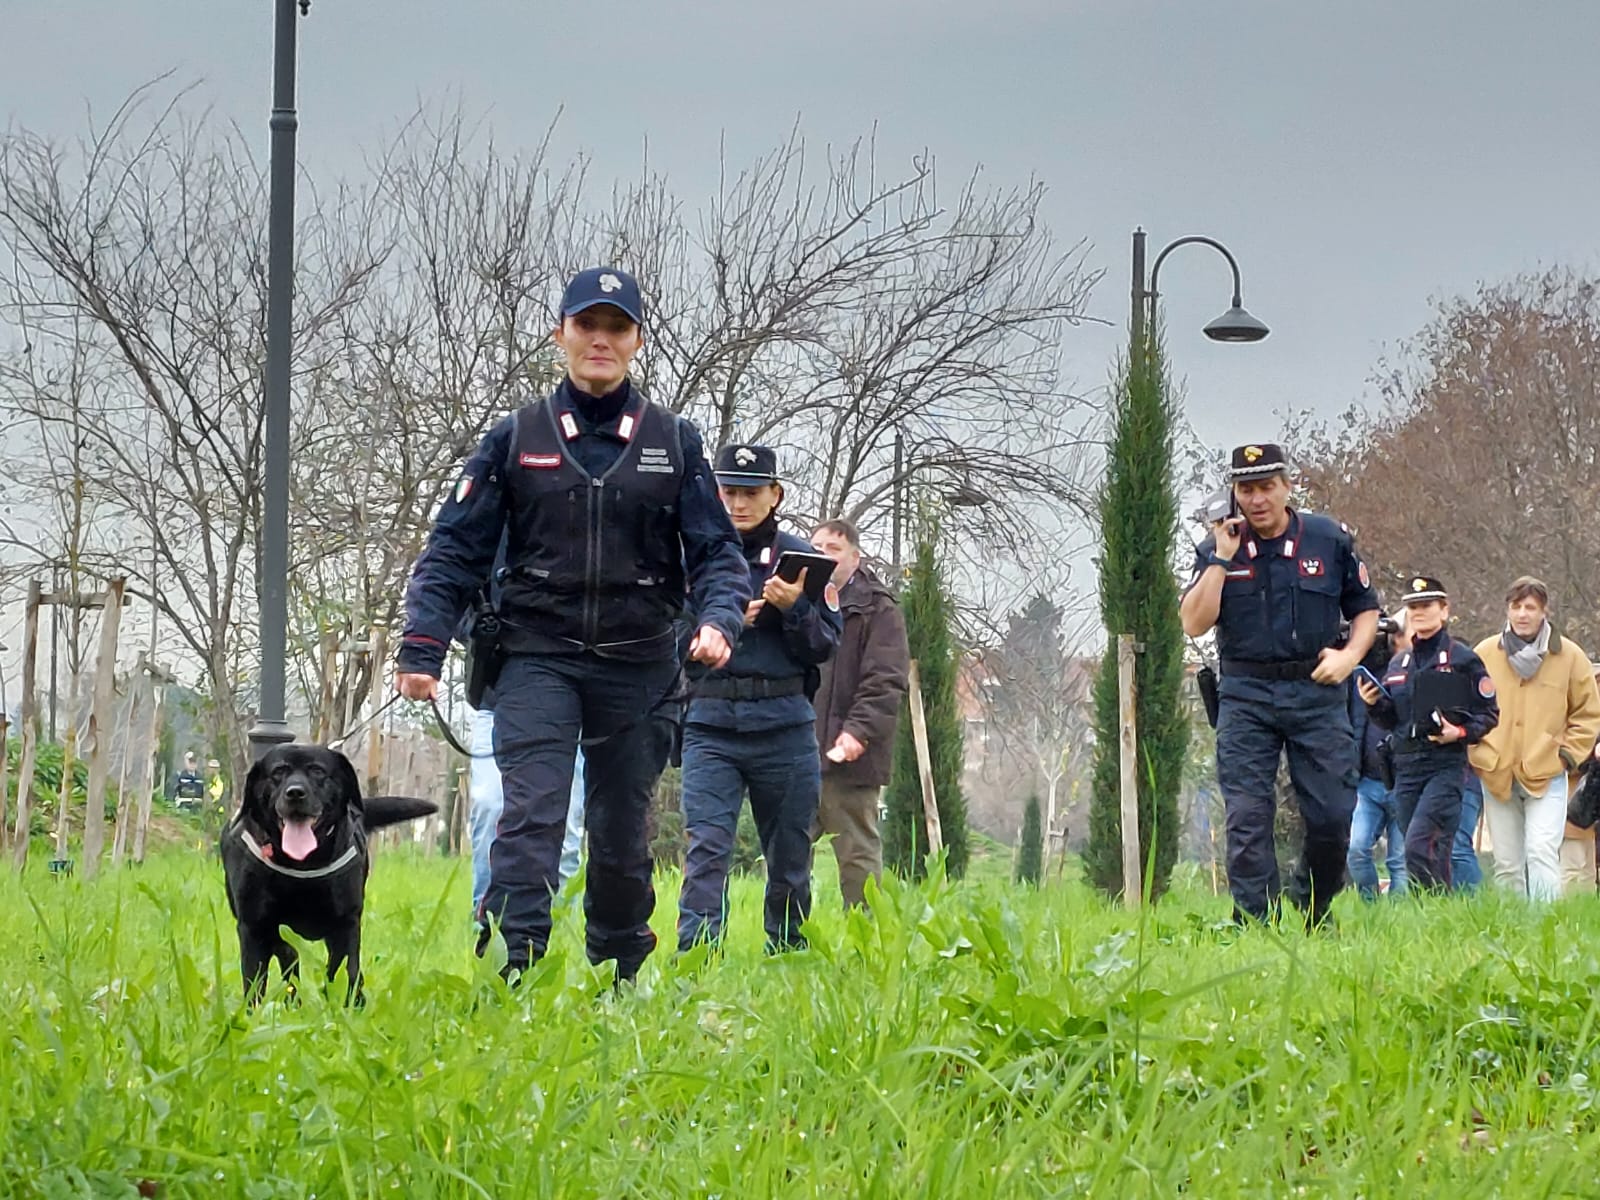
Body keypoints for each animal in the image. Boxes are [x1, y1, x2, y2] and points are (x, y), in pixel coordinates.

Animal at [222, 742, 438, 1004]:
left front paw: (349, 1004)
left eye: (317, 771)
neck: (302, 864)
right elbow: (256, 979)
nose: (295, 793)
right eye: (278, 772)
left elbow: (346, 968)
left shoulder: (346, 923)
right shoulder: (252, 926)